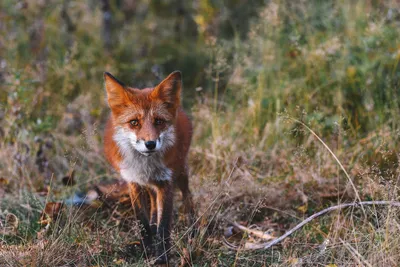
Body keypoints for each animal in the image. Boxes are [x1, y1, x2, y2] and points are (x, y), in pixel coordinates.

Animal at [103, 71, 194, 266]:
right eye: (134, 122)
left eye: (158, 121)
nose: (150, 144)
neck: (145, 166)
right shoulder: (133, 182)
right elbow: (142, 222)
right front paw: (147, 250)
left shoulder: (166, 183)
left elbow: (164, 226)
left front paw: (162, 257)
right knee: (153, 207)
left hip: (181, 172)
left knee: (188, 198)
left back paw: (193, 231)